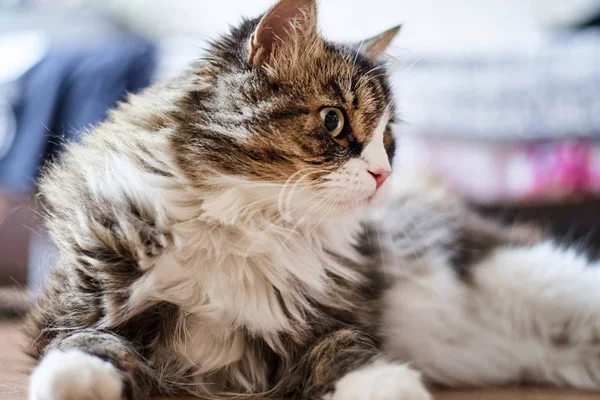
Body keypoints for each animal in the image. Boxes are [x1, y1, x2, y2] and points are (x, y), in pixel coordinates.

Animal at [25, 0, 600, 400]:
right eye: (333, 120)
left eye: (389, 140)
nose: (383, 174)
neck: (248, 226)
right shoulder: (86, 298)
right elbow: (86, 342)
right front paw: (72, 378)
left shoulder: (332, 318)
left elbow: (345, 351)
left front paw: (389, 385)